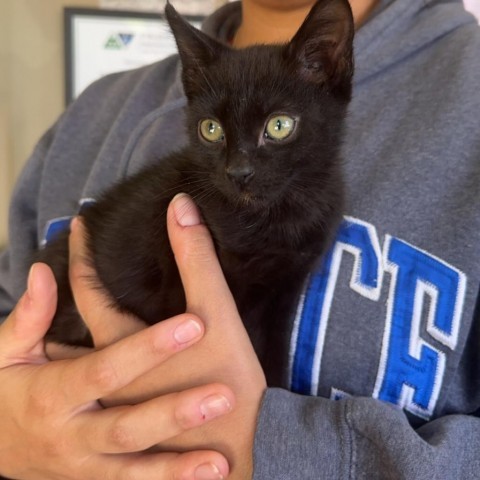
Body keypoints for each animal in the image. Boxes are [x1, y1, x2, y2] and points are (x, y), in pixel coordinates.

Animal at [39, 0, 354, 384]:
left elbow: (274, 357)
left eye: (279, 126)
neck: (272, 220)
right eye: (211, 129)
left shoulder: (284, 292)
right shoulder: (177, 290)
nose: (238, 172)